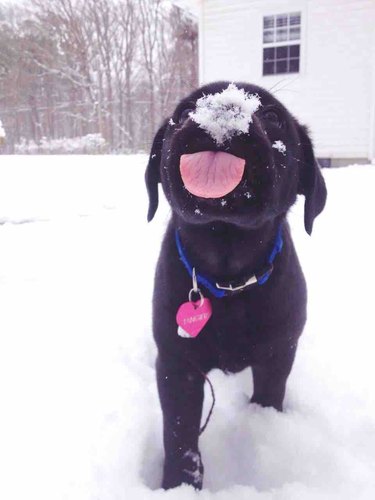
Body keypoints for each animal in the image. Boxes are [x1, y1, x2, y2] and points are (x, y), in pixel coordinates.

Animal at [145, 81, 328, 488]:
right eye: (184, 112)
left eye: (273, 115)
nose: (223, 105)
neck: (227, 278)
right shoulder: (177, 364)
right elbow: (179, 434)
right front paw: (179, 486)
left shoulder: (278, 354)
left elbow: (269, 396)